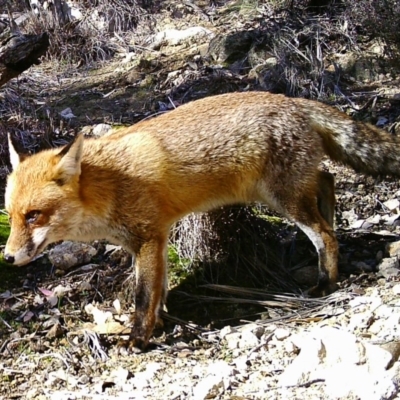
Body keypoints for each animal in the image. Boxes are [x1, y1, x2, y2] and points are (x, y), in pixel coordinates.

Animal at [3, 91, 400, 350]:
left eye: (34, 216)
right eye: (11, 216)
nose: (7, 257)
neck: (108, 185)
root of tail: (292, 99)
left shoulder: (148, 238)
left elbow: (144, 297)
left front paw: (137, 338)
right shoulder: (154, 240)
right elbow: (158, 292)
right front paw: (160, 324)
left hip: (283, 199)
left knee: (325, 234)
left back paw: (325, 282)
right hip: (280, 191)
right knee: (327, 180)